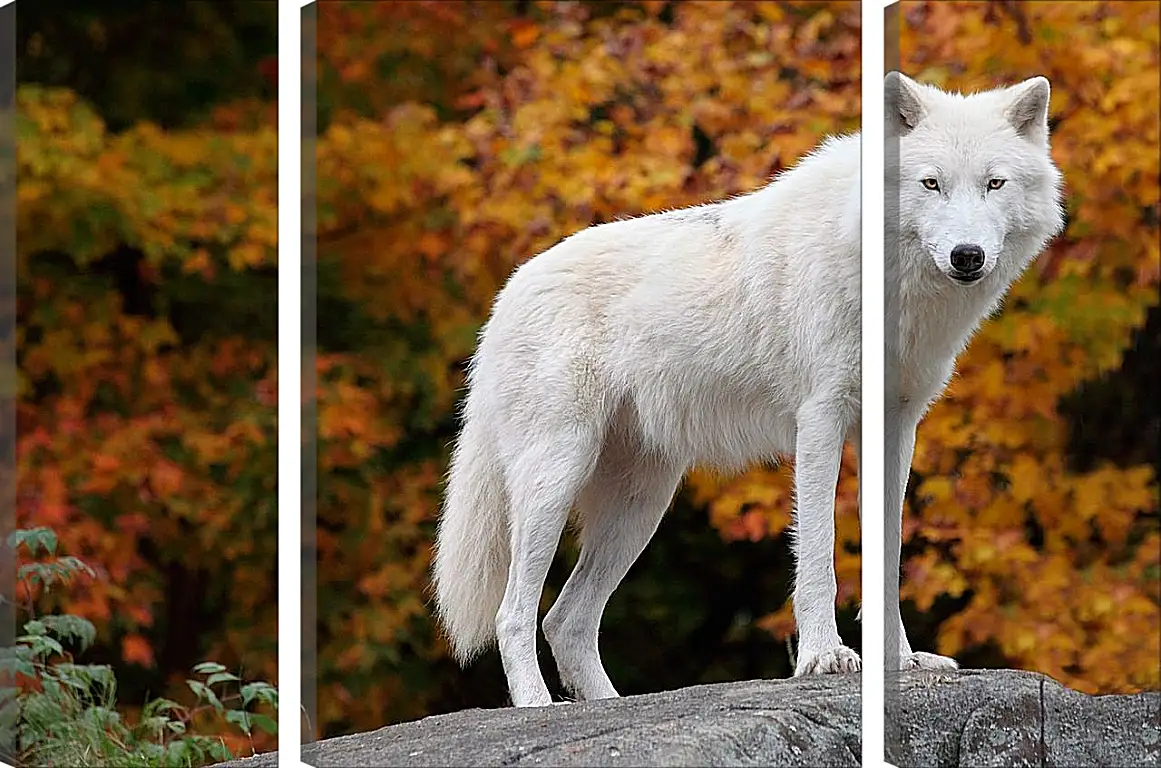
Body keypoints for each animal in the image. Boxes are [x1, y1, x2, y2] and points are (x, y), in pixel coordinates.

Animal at [431, 73, 1063, 706]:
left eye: (994, 183)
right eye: (931, 183)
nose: (967, 256)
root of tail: (506, 294)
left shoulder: (896, 428)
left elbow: (889, 559)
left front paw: (902, 662)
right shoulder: (821, 418)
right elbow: (818, 552)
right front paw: (823, 658)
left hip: (640, 505)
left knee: (565, 619)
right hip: (556, 478)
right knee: (514, 615)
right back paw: (537, 708)